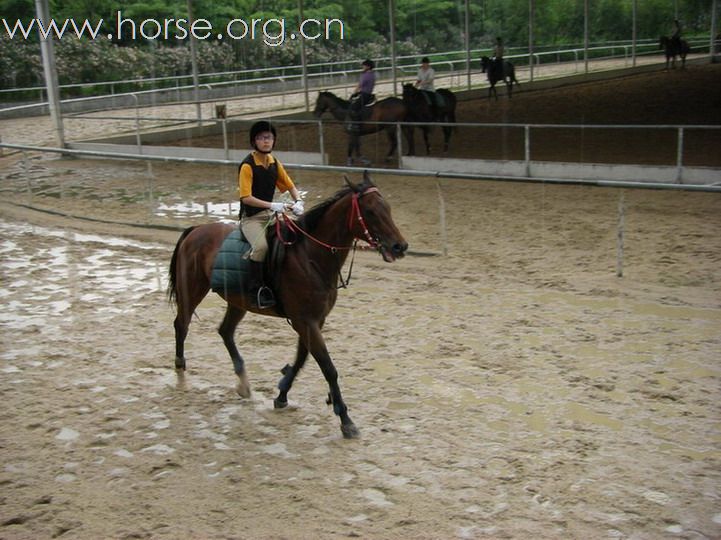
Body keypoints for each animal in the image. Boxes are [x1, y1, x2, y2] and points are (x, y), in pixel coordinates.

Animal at [166, 173, 408, 438]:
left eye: (388, 208)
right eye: (371, 211)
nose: (400, 246)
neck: (311, 257)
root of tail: (196, 230)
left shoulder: (314, 320)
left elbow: (302, 358)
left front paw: (282, 392)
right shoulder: (305, 321)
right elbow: (328, 367)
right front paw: (345, 419)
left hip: (237, 301)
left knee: (225, 331)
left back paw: (243, 382)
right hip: (192, 290)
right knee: (181, 324)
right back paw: (180, 367)